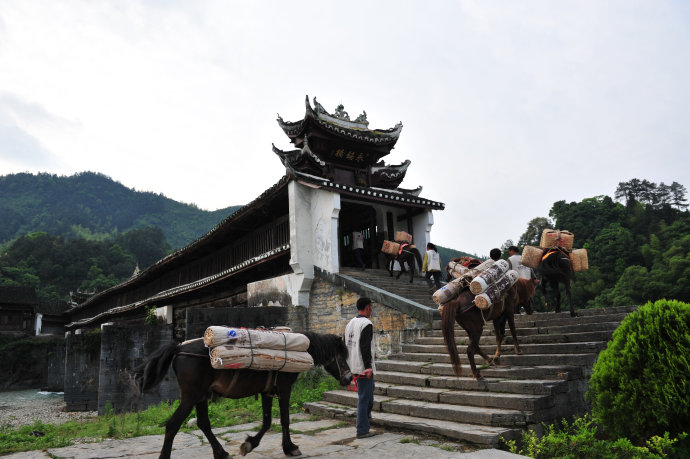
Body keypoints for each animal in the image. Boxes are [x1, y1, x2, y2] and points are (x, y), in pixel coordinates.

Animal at [134, 332, 350, 458]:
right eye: (341, 356)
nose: (348, 378)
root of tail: (179, 348)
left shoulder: (267, 391)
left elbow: (267, 421)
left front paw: (249, 444)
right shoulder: (284, 389)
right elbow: (285, 420)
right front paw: (290, 447)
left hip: (201, 396)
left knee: (203, 423)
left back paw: (221, 453)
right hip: (190, 396)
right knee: (173, 425)